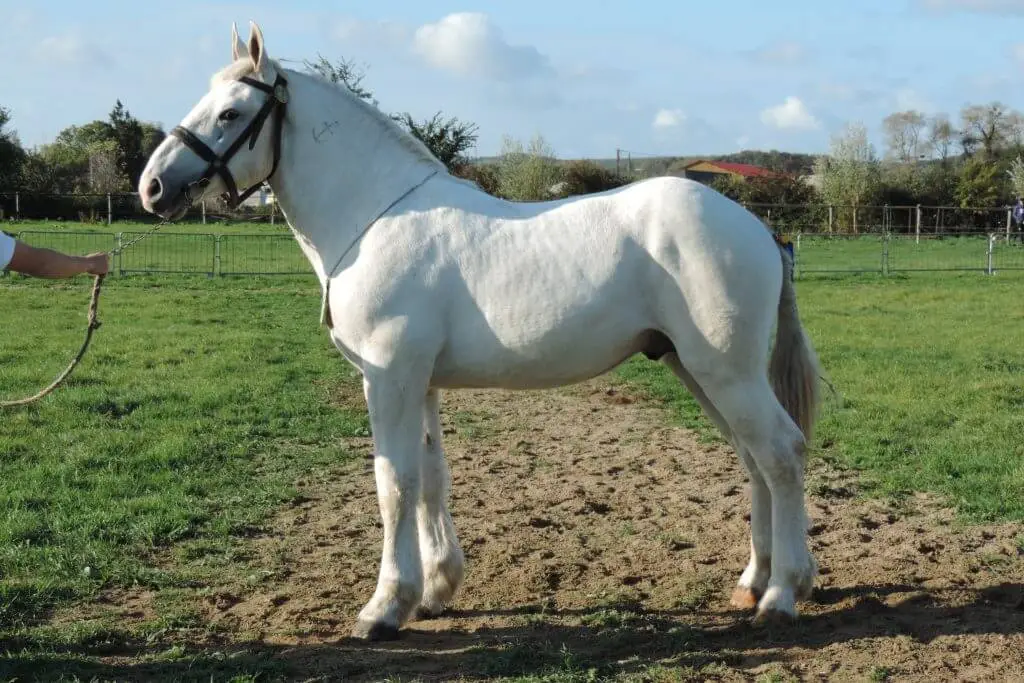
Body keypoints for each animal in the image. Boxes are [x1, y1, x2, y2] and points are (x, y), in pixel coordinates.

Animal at [138, 21, 823, 641]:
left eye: (230, 112)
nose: (153, 187)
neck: (374, 218)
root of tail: (760, 230)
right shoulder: (420, 383)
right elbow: (429, 479)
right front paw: (433, 590)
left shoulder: (389, 378)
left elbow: (393, 483)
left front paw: (382, 608)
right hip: (697, 369)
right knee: (754, 460)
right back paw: (753, 581)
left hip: (725, 372)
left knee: (781, 453)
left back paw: (782, 596)